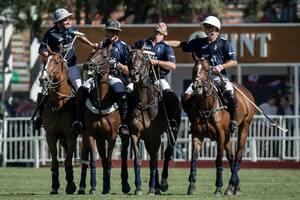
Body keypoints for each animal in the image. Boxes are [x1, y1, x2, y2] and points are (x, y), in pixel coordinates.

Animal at [41, 52, 78, 194]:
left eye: (57, 61)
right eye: (45, 60)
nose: (43, 79)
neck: (59, 104)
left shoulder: (71, 136)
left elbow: (67, 161)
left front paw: (70, 187)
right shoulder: (50, 136)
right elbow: (55, 162)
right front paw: (55, 186)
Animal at [76, 47, 130, 195]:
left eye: (105, 56)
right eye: (91, 54)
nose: (88, 65)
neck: (101, 102)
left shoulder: (112, 136)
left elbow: (110, 161)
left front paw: (106, 187)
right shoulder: (91, 135)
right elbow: (94, 161)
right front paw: (93, 187)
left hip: (121, 137)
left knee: (122, 156)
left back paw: (125, 185)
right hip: (95, 138)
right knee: (89, 158)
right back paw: (83, 187)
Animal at [126, 48, 180, 195]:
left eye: (143, 58)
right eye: (129, 59)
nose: (134, 74)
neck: (144, 103)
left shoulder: (154, 135)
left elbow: (154, 162)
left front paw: (151, 188)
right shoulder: (135, 134)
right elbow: (138, 159)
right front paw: (138, 188)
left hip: (172, 131)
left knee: (166, 153)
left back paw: (161, 184)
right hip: (148, 139)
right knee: (153, 156)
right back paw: (156, 186)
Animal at [182, 57, 254, 195]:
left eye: (206, 69)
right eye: (194, 69)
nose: (197, 86)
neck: (206, 106)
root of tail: (246, 92)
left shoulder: (220, 135)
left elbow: (218, 160)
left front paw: (218, 188)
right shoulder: (197, 134)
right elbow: (194, 159)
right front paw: (191, 186)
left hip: (245, 126)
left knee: (238, 155)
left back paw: (232, 185)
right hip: (227, 135)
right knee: (231, 157)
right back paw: (233, 187)